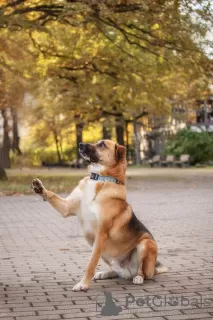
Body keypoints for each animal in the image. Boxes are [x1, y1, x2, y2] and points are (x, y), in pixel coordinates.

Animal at [31, 139, 167, 292]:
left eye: (102, 144)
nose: (80, 144)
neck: (99, 179)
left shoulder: (100, 234)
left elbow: (91, 263)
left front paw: (83, 284)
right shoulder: (66, 208)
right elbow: (52, 195)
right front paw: (39, 188)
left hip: (146, 244)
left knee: (142, 271)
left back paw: (138, 277)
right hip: (108, 255)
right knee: (117, 271)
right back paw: (105, 273)